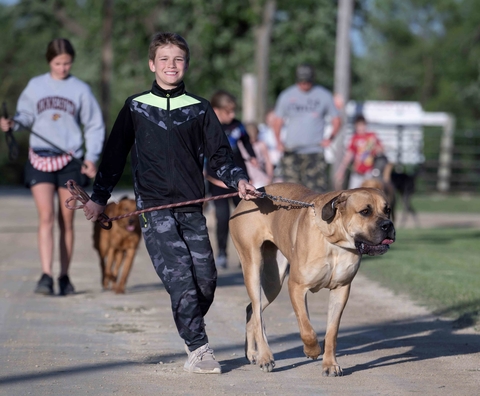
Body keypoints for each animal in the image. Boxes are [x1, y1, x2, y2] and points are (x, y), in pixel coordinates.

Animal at [229, 184, 394, 376]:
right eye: (365, 211)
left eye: (387, 210)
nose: (388, 225)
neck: (335, 243)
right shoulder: (297, 286)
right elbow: (307, 328)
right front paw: (312, 351)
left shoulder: (341, 289)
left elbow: (331, 332)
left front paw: (330, 364)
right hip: (252, 266)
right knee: (257, 313)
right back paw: (265, 357)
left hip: (273, 282)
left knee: (252, 311)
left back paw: (252, 353)